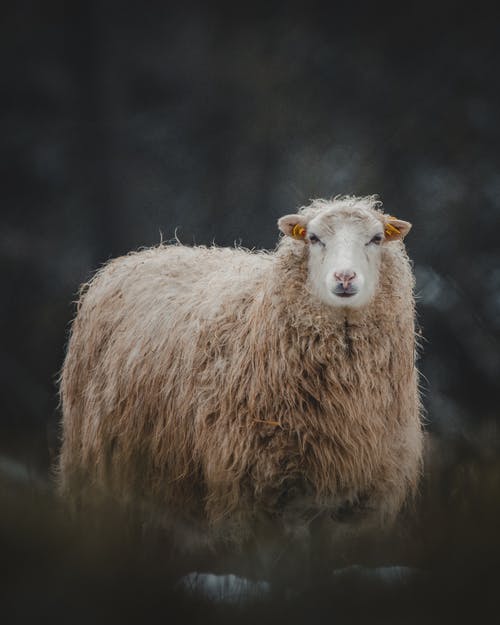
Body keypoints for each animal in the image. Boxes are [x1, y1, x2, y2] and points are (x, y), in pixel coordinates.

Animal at [59, 195, 426, 540]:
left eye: (376, 238)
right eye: (313, 238)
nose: (345, 277)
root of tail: (140, 255)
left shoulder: (363, 500)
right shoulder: (248, 488)